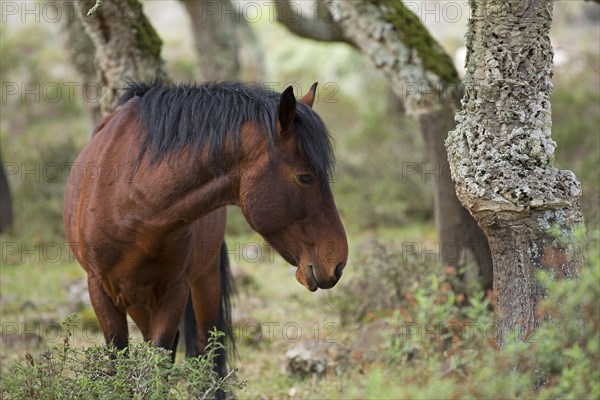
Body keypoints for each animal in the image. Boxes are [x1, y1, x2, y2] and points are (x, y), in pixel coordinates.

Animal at [62, 80, 346, 382]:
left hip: (204, 283)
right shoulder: (100, 291)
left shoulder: (174, 291)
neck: (131, 203)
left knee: (210, 353)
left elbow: (161, 362)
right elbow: (119, 363)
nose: (338, 262)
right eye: (305, 177)